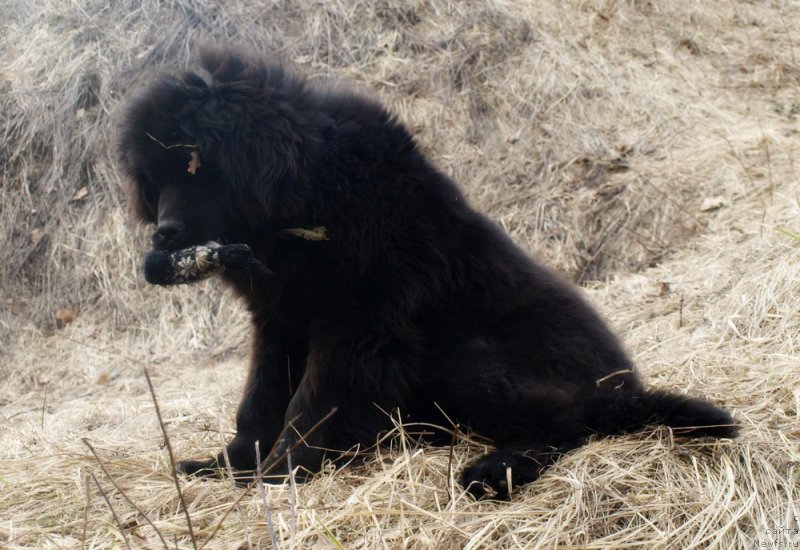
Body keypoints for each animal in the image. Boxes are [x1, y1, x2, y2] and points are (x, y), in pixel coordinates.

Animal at [115, 46, 736, 500]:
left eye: (198, 166)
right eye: (154, 178)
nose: (163, 234)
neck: (309, 199)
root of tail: (625, 389)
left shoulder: (359, 322)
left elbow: (311, 403)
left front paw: (283, 472)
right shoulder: (280, 318)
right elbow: (261, 398)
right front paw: (230, 464)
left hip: (473, 360)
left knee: (568, 422)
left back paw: (493, 470)